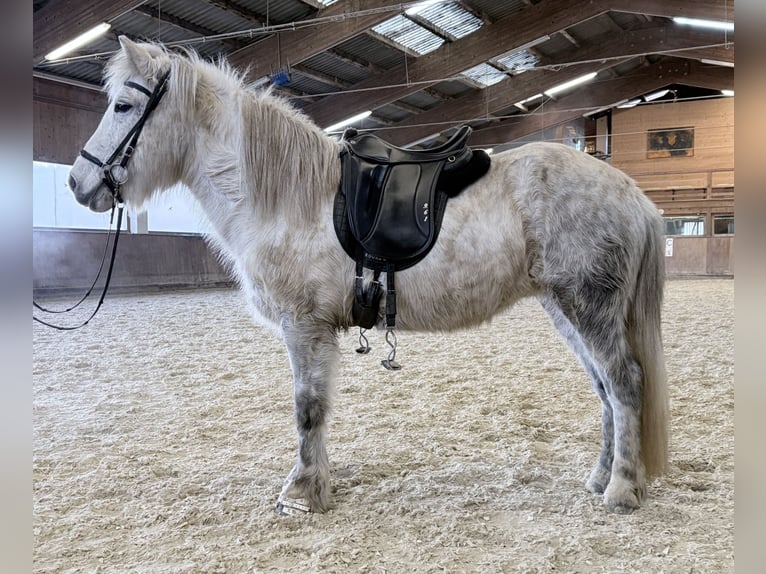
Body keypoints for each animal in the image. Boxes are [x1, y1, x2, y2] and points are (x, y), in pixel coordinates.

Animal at [66, 37, 669, 515]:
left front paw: (301, 492)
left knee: (624, 383)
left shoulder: (303, 327)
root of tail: (631, 192)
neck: (287, 194)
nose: (77, 183)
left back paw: (621, 491)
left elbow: (307, 409)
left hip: (588, 307)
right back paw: (599, 480)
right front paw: (318, 483)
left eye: (123, 104)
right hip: (565, 308)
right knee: (604, 389)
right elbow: (318, 409)